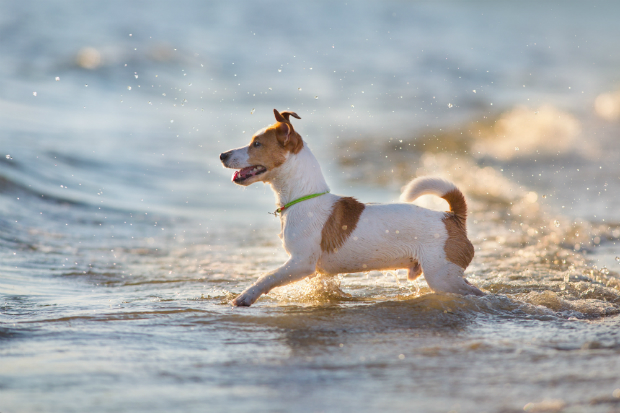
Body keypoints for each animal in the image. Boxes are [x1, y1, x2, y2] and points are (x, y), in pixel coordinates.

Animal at [219, 109, 484, 306]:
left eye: (256, 144)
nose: (222, 155)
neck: (304, 197)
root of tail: (452, 216)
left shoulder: (301, 263)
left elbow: (267, 277)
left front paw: (245, 296)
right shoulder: (314, 270)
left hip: (442, 276)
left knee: (474, 292)